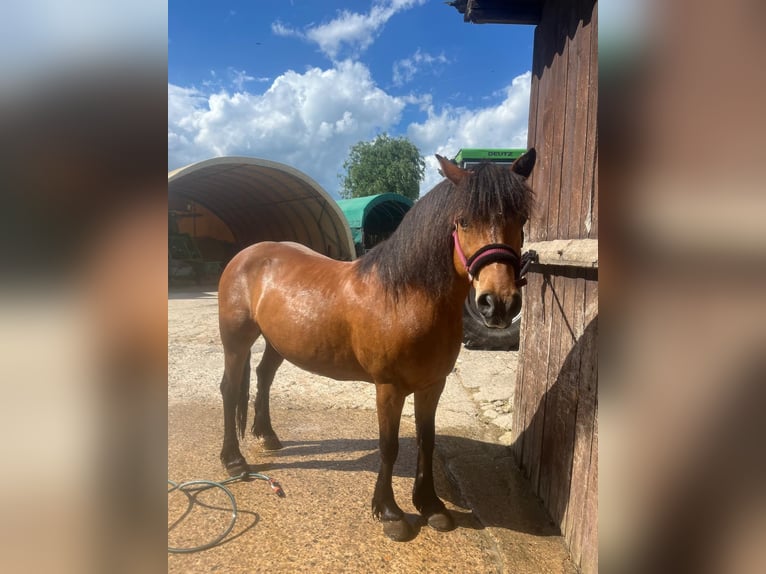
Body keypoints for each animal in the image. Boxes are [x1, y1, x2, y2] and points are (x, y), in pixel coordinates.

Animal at [217, 149, 536, 541]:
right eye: (462, 221)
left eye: (521, 219)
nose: (499, 303)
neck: (406, 298)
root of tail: (246, 254)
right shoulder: (389, 387)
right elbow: (389, 445)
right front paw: (390, 512)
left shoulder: (432, 386)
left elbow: (427, 440)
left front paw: (430, 505)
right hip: (236, 341)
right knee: (230, 389)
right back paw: (234, 461)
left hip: (277, 341)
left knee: (263, 377)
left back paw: (267, 435)